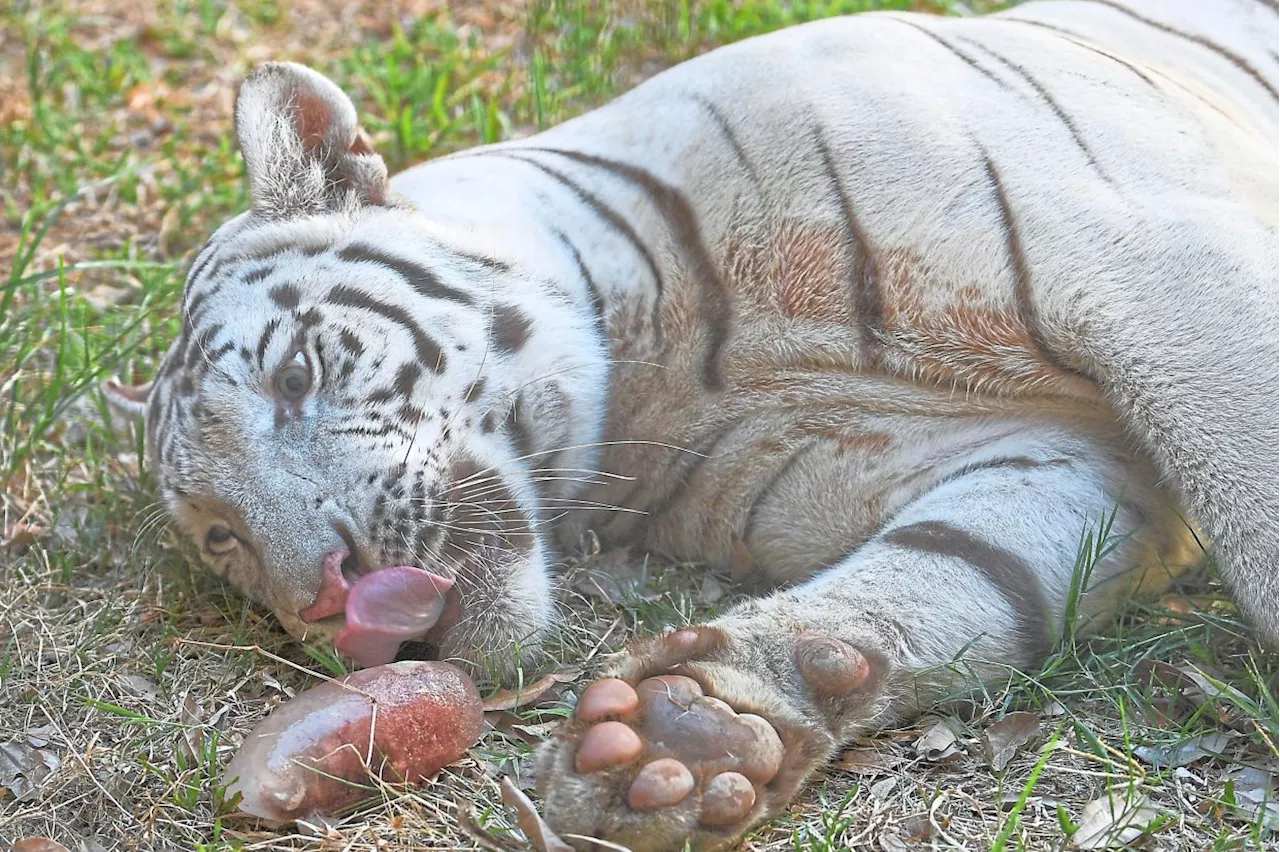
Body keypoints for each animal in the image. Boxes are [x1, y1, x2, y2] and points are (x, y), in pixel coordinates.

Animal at [110, 1, 1280, 844]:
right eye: (223, 539)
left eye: (295, 373)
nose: (328, 597)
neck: (663, 363)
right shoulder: (1058, 458)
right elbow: (956, 571)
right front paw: (691, 731)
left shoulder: (1149, 265)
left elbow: (1252, 489)